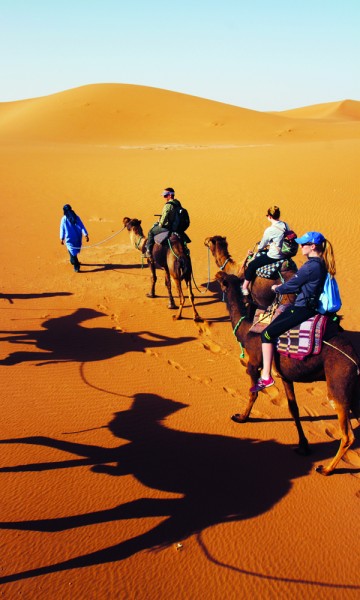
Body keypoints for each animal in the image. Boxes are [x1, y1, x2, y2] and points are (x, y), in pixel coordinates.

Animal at [215, 270, 358, 474]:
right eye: (229, 277)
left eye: (223, 280)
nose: (218, 272)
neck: (245, 329)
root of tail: (355, 359)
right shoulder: (285, 376)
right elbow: (293, 408)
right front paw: (303, 446)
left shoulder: (254, 363)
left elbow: (253, 394)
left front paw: (241, 417)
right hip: (353, 390)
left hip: (339, 384)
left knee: (347, 435)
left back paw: (326, 469)